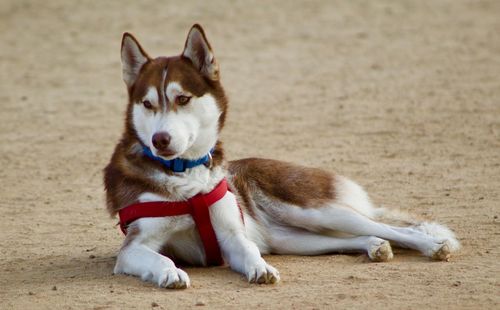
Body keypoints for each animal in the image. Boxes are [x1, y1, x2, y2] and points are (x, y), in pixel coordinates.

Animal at [103, 25, 458, 290]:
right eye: (147, 104)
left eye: (183, 99)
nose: (159, 140)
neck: (186, 178)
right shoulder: (134, 248)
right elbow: (159, 257)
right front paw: (170, 272)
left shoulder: (232, 237)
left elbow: (247, 251)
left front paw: (259, 269)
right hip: (294, 239)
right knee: (360, 235)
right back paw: (374, 246)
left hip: (316, 212)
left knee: (393, 228)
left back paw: (432, 246)